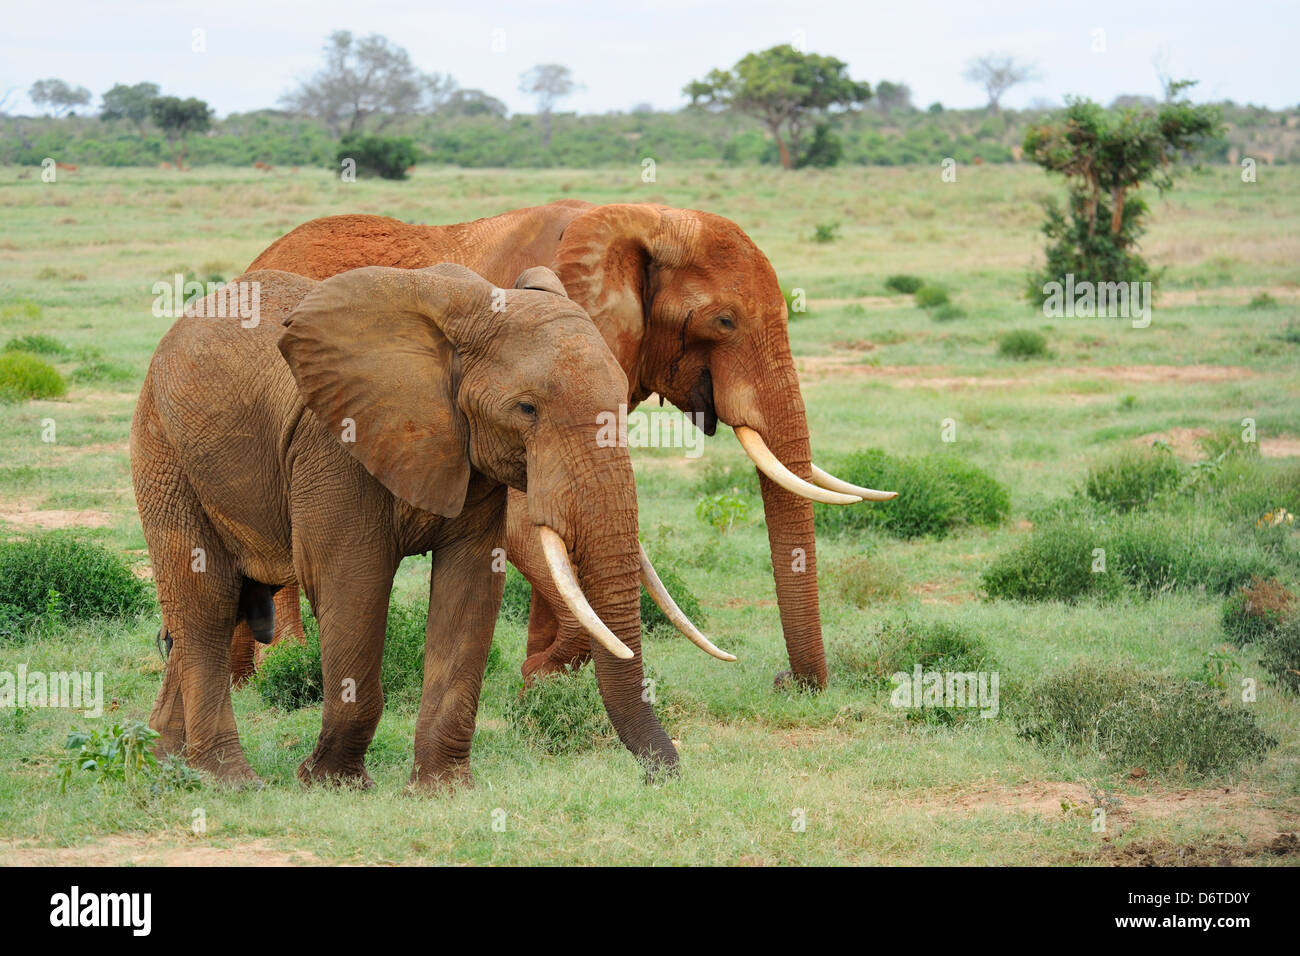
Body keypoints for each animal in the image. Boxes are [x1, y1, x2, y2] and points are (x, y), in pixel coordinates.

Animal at [130, 265, 696, 790]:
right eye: (527, 409)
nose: (663, 774)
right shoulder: (335, 444)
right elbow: (351, 584)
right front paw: (331, 782)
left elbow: (471, 586)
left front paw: (443, 790)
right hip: (164, 450)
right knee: (206, 603)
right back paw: (228, 780)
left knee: (217, 611)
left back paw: (164, 764)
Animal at [241, 205, 894, 691]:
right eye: (725, 321)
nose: (789, 683)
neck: (634, 218)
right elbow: (526, 521)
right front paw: (545, 671)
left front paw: (540, 675)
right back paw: (282, 671)